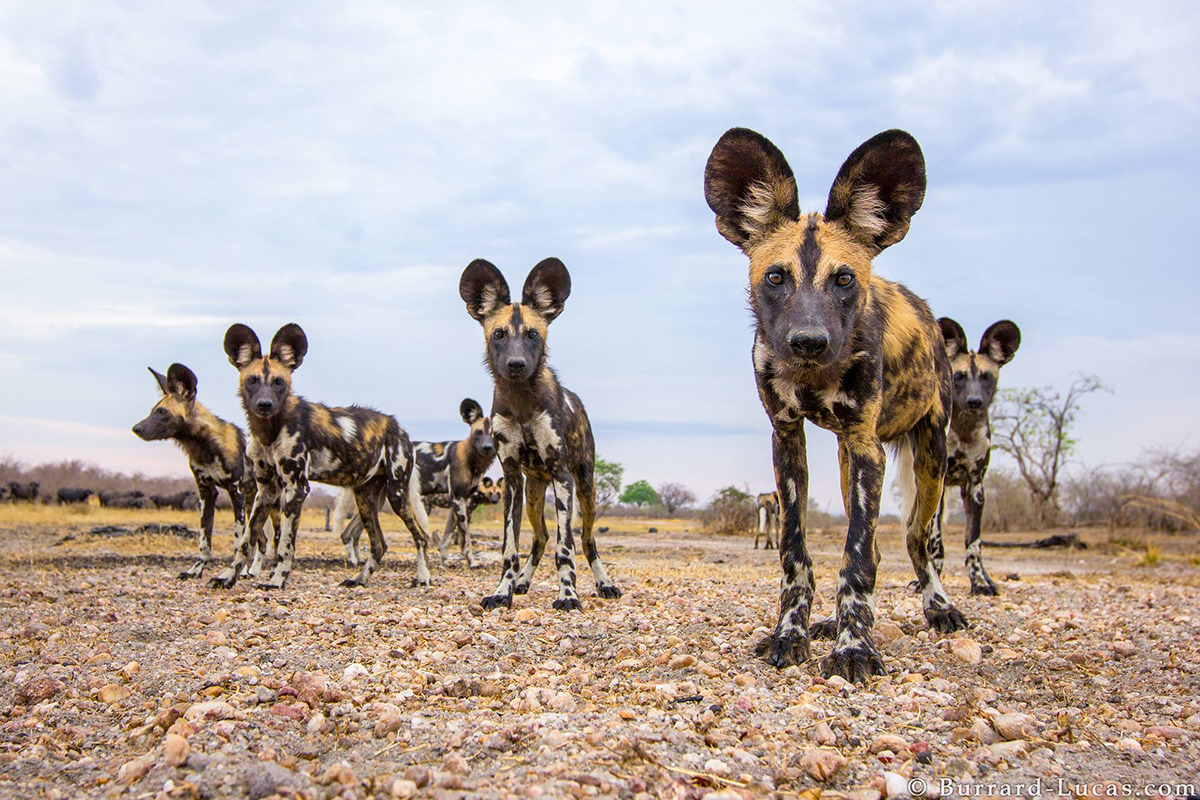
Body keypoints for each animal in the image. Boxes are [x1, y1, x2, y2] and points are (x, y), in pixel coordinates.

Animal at [132, 367, 274, 578]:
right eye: (153, 411)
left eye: (162, 412)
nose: (136, 428)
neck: (204, 447)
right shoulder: (206, 493)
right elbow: (204, 540)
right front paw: (197, 569)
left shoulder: (236, 493)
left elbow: (237, 541)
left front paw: (229, 572)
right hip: (253, 505)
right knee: (261, 540)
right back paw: (252, 570)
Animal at [213, 321, 434, 592]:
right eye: (252, 380)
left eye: (278, 382)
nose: (265, 404)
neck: (269, 430)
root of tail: (400, 428)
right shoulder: (265, 491)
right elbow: (245, 541)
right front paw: (227, 577)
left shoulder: (296, 488)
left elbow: (285, 546)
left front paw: (277, 580)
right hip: (365, 499)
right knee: (379, 544)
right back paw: (359, 579)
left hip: (397, 495)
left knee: (421, 538)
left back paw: (422, 578)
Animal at [458, 260, 624, 609]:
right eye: (499, 334)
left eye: (533, 334)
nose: (516, 364)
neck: (522, 402)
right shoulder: (511, 480)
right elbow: (510, 548)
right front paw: (503, 591)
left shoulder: (563, 476)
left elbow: (566, 547)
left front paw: (568, 595)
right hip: (534, 494)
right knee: (540, 537)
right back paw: (522, 582)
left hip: (586, 489)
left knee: (586, 541)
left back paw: (604, 584)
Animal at [700, 125, 964, 681]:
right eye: (775, 277)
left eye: (844, 279)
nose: (808, 341)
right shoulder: (788, 441)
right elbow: (796, 554)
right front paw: (792, 633)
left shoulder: (866, 445)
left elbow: (856, 559)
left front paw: (853, 650)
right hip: (849, 465)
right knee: (882, 547)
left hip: (928, 460)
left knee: (917, 540)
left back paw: (939, 608)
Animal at [926, 316, 1022, 594]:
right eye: (958, 376)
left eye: (986, 377)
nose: (974, 401)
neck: (964, 432)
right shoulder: (939, 487)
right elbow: (936, 543)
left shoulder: (975, 488)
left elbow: (974, 542)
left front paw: (979, 580)